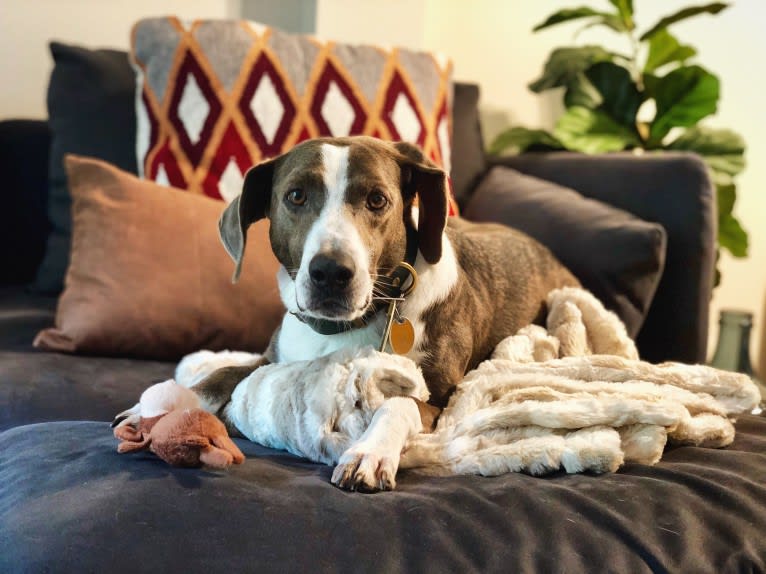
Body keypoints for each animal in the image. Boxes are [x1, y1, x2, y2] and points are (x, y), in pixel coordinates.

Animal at [117, 137, 580, 492]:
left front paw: (369, 454)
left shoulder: (443, 397)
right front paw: (154, 409)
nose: (331, 272)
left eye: (377, 199)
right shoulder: (272, 359)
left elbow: (399, 404)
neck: (339, 329)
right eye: (296, 195)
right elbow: (220, 374)